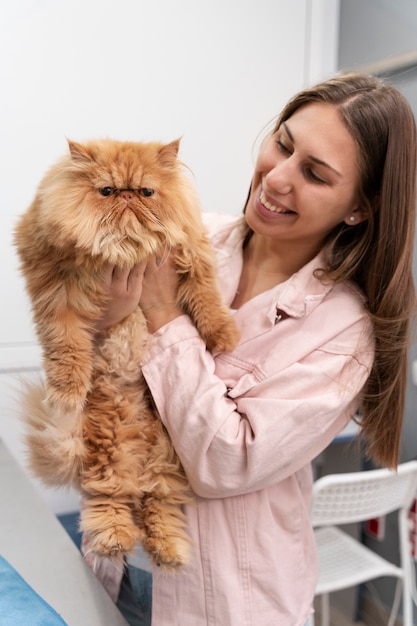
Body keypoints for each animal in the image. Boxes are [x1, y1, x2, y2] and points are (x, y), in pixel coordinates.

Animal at [14, 136, 239, 564]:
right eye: (107, 191)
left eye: (147, 192)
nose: (128, 196)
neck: (126, 247)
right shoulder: (57, 297)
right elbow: (67, 350)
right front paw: (67, 393)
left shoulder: (193, 258)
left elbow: (208, 303)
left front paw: (224, 337)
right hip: (110, 447)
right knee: (111, 496)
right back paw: (116, 538)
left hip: (169, 454)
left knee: (158, 500)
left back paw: (169, 549)